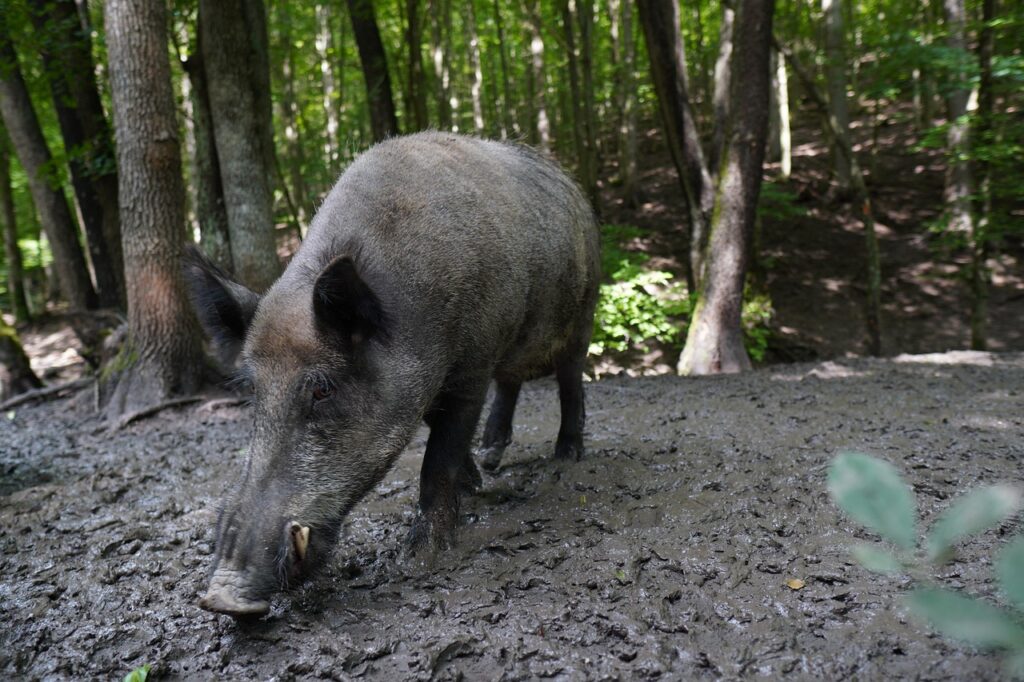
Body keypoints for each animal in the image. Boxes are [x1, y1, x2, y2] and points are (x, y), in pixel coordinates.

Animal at [186, 132, 600, 617]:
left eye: (322, 389)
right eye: (252, 390)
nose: (222, 596)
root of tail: (574, 188)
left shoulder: (471, 367)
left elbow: (438, 457)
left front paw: (419, 559)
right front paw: (475, 484)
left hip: (584, 312)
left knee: (570, 380)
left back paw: (567, 456)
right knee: (512, 382)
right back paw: (493, 457)